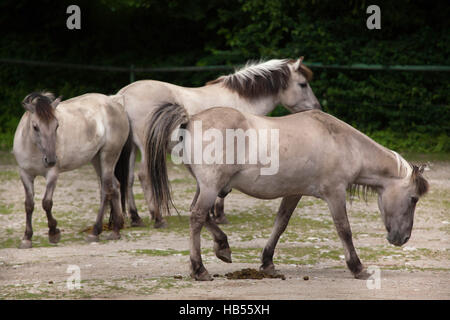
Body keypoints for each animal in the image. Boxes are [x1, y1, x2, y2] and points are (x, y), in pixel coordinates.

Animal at [12, 91, 132, 249]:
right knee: (115, 187)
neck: (33, 148)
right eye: (35, 127)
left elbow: (46, 203)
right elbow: (29, 205)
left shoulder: (52, 174)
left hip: (108, 156)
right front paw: (27, 238)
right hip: (97, 159)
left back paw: (95, 232)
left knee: (106, 190)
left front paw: (54, 233)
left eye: (56, 126)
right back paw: (116, 231)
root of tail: (116, 104)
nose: (51, 160)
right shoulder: (25, 174)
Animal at [116, 57, 320, 228]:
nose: (317, 107)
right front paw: (219, 215)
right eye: (303, 84)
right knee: (144, 175)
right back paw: (157, 217)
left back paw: (136, 217)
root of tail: (123, 94)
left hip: (132, 148)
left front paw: (213, 214)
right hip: (145, 148)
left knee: (129, 178)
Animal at [146, 105, 430, 280]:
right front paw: (357, 267)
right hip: (210, 188)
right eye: (413, 199)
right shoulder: (335, 194)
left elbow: (280, 224)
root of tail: (191, 120)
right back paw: (199, 269)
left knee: (201, 216)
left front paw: (267, 262)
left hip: (206, 187)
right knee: (196, 217)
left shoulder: (294, 193)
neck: (342, 142)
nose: (403, 238)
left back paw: (223, 247)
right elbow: (344, 230)